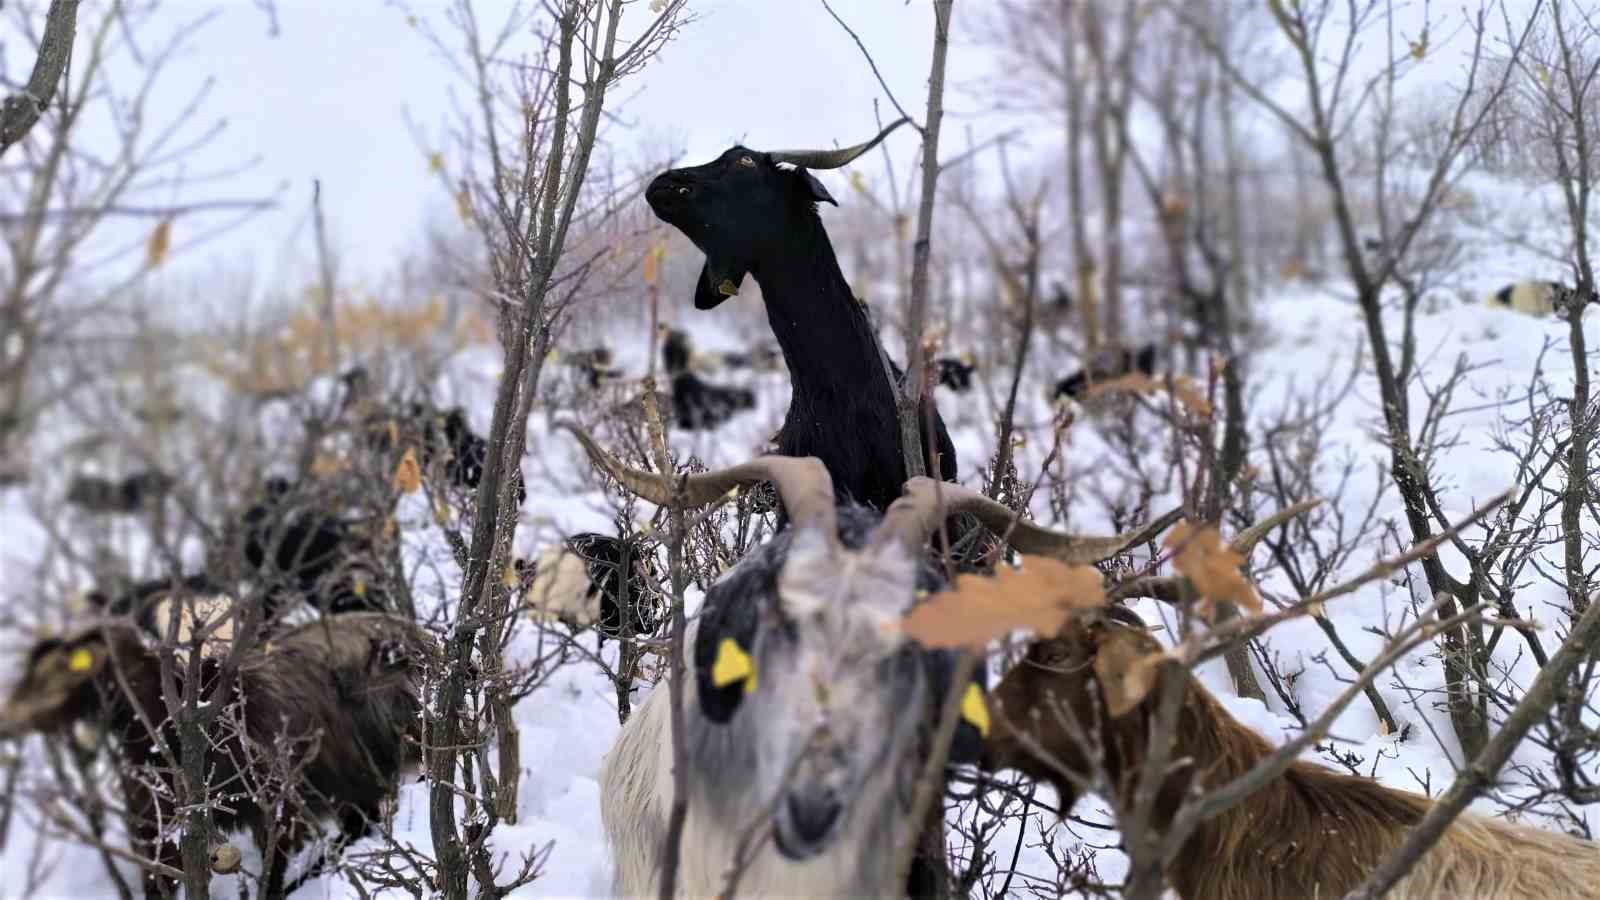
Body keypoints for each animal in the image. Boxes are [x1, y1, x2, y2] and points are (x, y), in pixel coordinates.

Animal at [0, 608, 438, 896]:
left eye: (52, 676)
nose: (8, 718)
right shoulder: (155, 820)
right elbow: (159, 876)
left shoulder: (277, 806)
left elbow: (272, 871)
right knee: (358, 822)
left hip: (370, 760)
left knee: (362, 822)